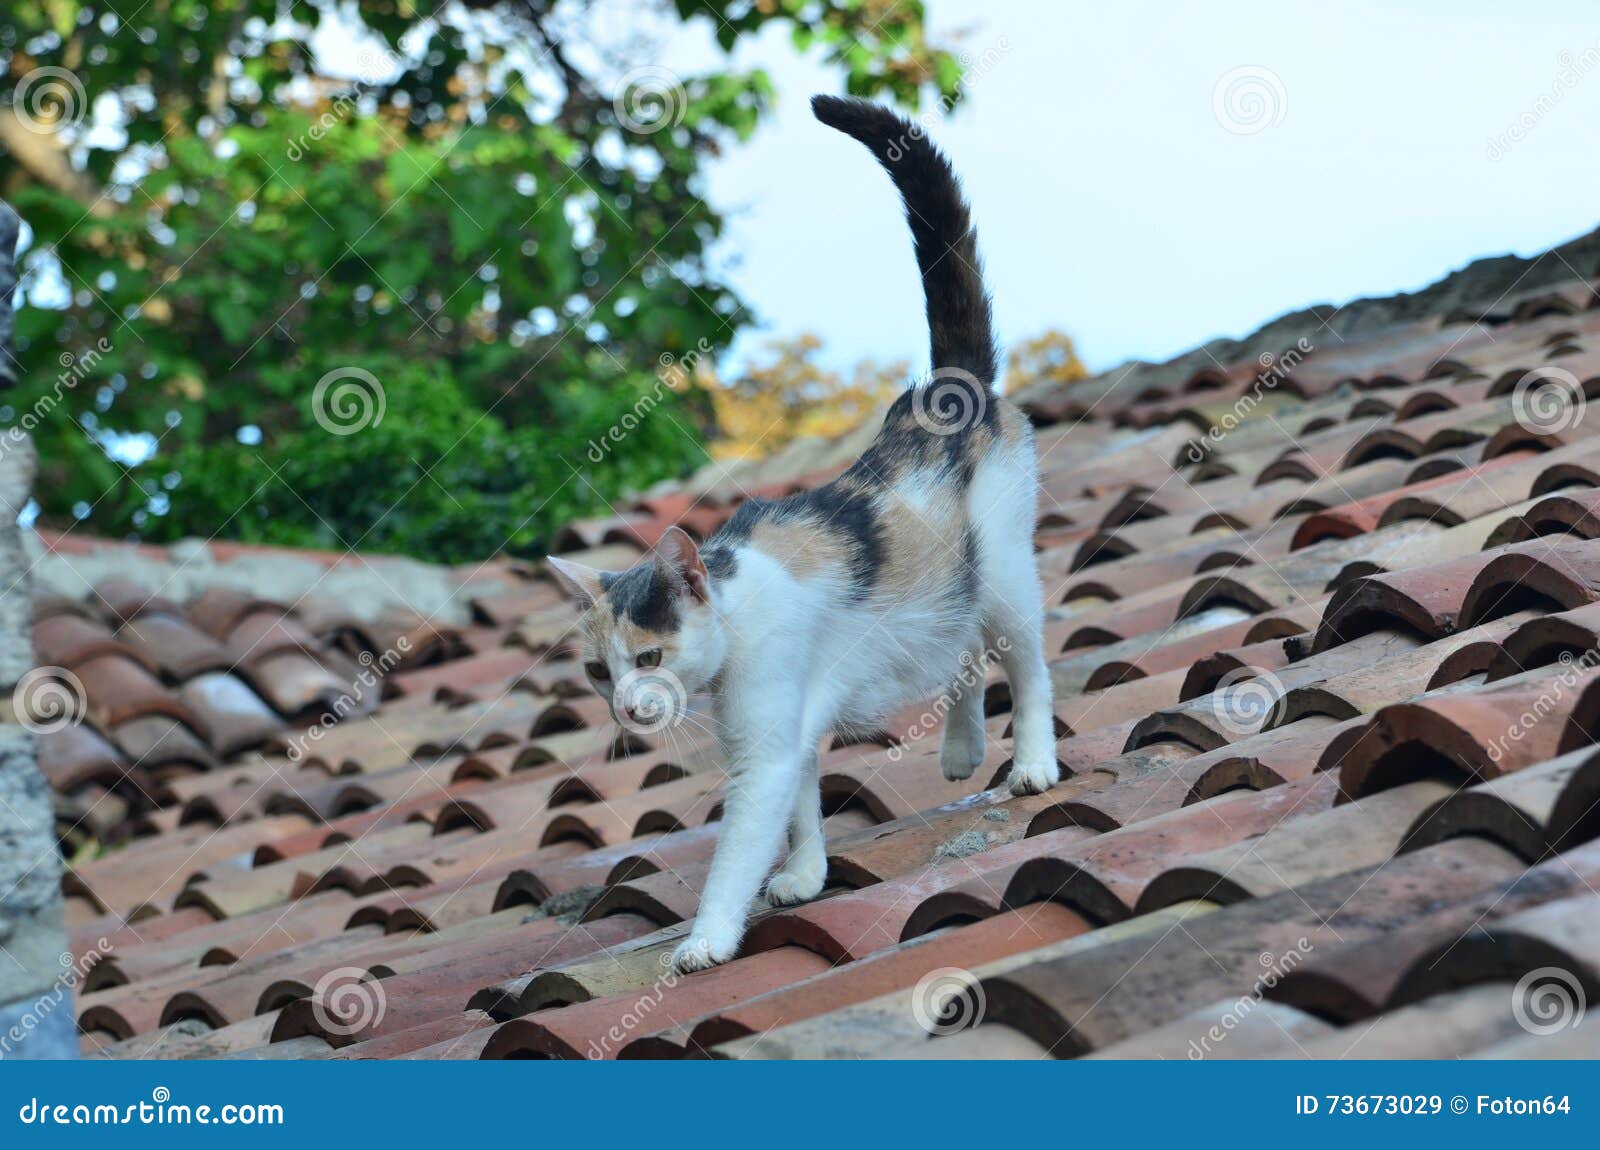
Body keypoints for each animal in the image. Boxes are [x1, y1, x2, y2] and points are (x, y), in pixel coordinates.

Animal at [550, 94, 1062, 972]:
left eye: (647, 659)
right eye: (595, 671)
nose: (625, 707)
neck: (734, 608)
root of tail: (946, 390)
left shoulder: (764, 744)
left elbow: (741, 846)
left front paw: (706, 939)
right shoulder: (782, 733)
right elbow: (800, 804)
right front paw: (805, 873)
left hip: (1001, 572)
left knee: (1023, 663)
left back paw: (1031, 761)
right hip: (944, 594)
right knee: (958, 649)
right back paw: (961, 748)